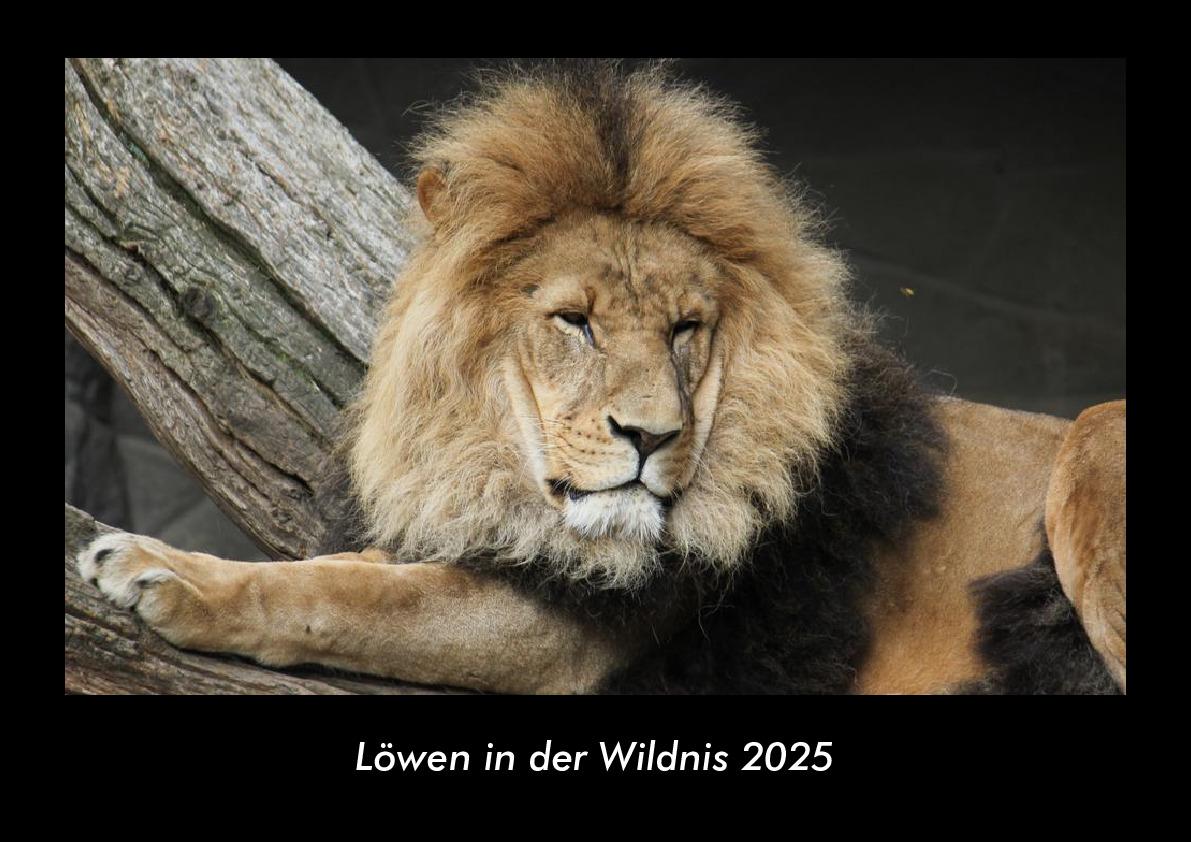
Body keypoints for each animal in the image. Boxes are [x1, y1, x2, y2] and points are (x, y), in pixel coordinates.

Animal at [75, 62, 1125, 695]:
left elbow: (345, 602)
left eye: (686, 329)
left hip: (1090, 438)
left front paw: (165, 575)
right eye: (574, 322)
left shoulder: (567, 633)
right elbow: (352, 572)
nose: (650, 437)